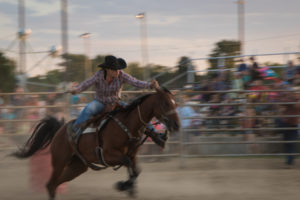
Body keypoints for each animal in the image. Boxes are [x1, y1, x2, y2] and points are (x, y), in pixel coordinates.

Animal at [12, 88, 179, 200]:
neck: (127, 124)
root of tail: (60, 130)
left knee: (55, 184)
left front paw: (129, 188)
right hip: (59, 161)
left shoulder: (133, 156)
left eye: (175, 103)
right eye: (165, 104)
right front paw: (122, 185)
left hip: (77, 166)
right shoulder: (108, 155)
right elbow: (127, 165)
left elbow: (136, 171)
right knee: (50, 184)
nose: (177, 125)